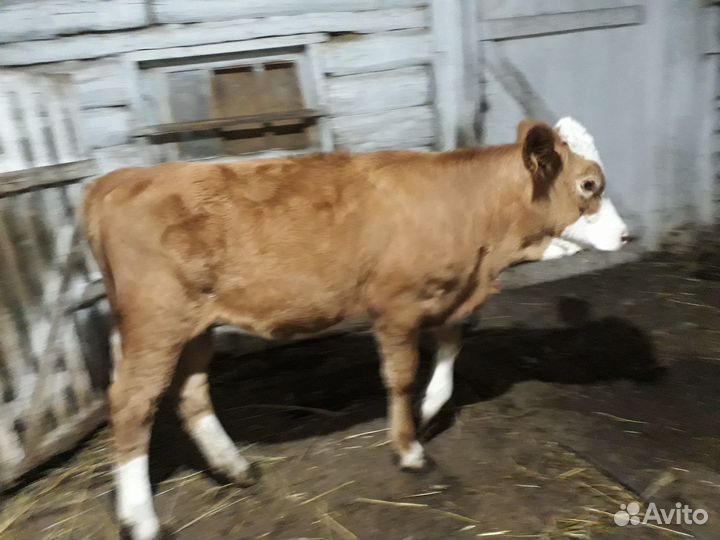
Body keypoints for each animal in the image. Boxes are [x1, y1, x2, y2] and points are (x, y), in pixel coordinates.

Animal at [83, 119, 620, 540]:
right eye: (589, 185)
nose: (625, 233)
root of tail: (116, 181)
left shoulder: (449, 294)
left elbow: (449, 351)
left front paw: (428, 411)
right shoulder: (396, 305)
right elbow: (401, 376)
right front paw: (409, 449)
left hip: (193, 325)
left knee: (190, 393)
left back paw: (236, 468)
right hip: (157, 322)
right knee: (131, 405)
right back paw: (141, 520)